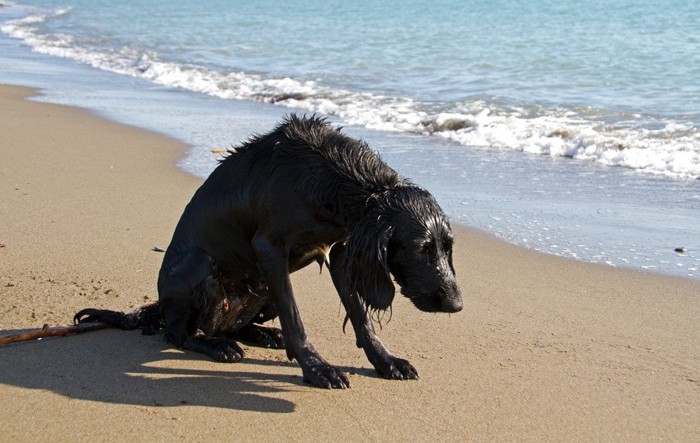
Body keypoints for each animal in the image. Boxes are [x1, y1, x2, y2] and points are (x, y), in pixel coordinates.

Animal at [75, 116, 460, 390]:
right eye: (421, 249)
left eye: (448, 248)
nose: (456, 304)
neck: (328, 174)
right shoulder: (270, 249)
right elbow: (296, 319)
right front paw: (317, 368)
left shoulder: (342, 251)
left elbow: (361, 318)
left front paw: (385, 361)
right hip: (201, 267)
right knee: (182, 333)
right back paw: (217, 346)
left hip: (260, 290)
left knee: (232, 327)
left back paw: (263, 335)